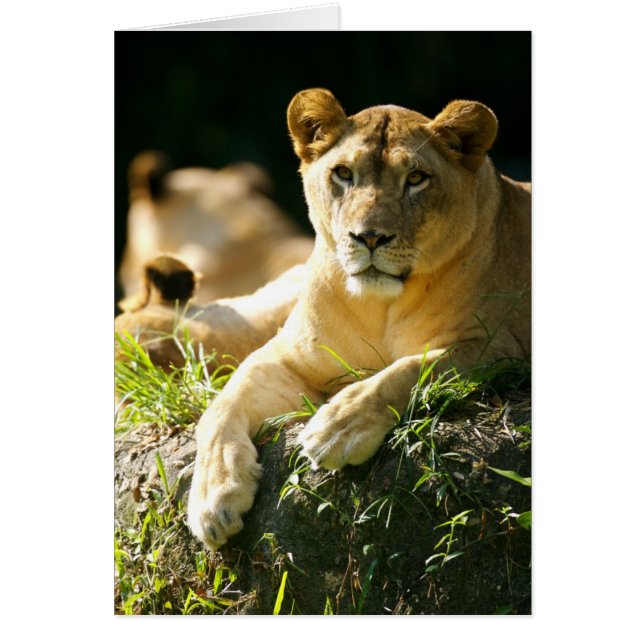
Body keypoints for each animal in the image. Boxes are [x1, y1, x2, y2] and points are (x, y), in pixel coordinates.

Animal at [186, 89, 531, 551]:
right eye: (344, 174)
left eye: (416, 178)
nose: (369, 237)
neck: (377, 307)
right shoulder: (287, 354)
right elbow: (222, 405)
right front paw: (213, 497)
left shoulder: (499, 346)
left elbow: (408, 370)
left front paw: (337, 428)